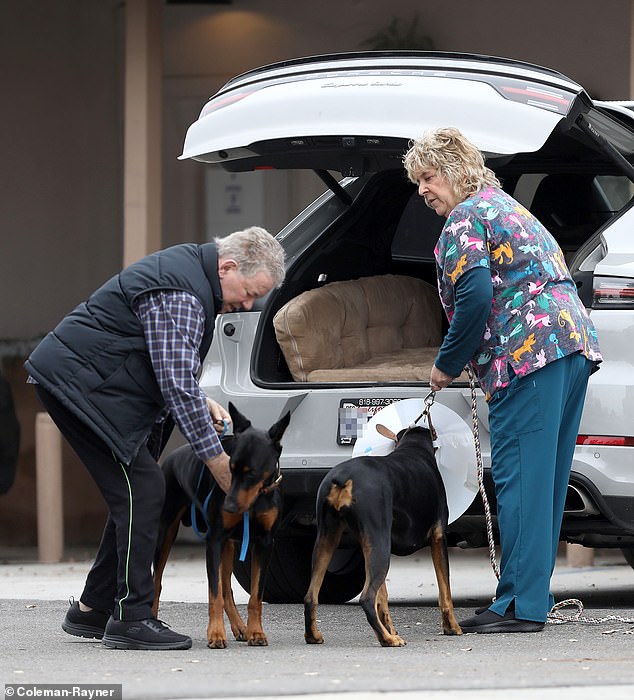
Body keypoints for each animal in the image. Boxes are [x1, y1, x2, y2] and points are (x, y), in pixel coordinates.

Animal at [152, 402, 290, 648]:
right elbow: (213, 594)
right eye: (230, 467)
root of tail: (170, 458)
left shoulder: (265, 542)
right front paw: (215, 634)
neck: (255, 499)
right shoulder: (214, 538)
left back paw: (240, 627)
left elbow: (255, 596)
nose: (230, 506)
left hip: (229, 545)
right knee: (156, 583)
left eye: (252, 473)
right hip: (166, 531)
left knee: (227, 589)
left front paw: (256, 632)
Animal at [302, 422, 460, 644]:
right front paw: (452, 627)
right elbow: (445, 590)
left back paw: (313, 635)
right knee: (366, 598)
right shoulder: (438, 538)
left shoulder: (367, 544)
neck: (414, 447)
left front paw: (391, 629)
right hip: (380, 545)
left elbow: (383, 601)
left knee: (311, 596)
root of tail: (343, 478)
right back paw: (387, 640)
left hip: (328, 539)